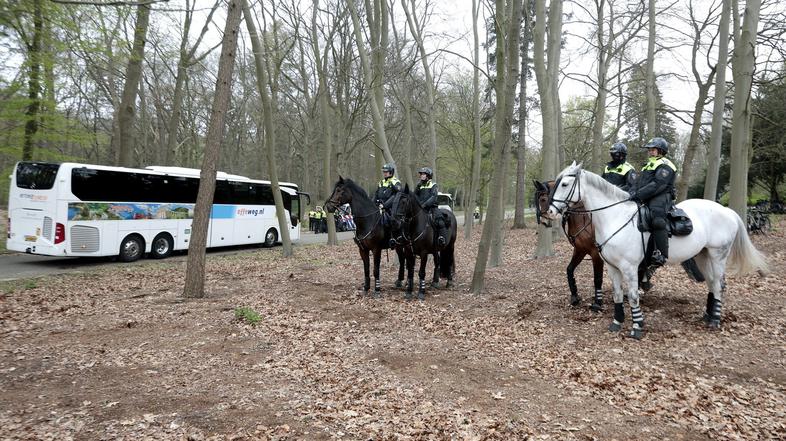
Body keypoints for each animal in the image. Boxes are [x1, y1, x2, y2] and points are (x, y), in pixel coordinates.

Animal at [532, 179, 608, 310]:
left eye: (543, 199)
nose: (544, 222)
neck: (583, 217)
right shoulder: (580, 250)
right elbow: (569, 270)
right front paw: (574, 296)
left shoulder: (596, 254)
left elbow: (597, 278)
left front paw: (598, 303)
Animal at [544, 162, 764, 336]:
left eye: (564, 184)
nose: (550, 212)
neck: (615, 217)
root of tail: (727, 211)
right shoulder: (613, 267)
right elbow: (617, 294)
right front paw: (616, 323)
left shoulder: (630, 268)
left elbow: (633, 295)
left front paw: (637, 327)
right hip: (703, 255)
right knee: (712, 283)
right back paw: (708, 316)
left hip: (718, 255)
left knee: (718, 284)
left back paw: (715, 321)